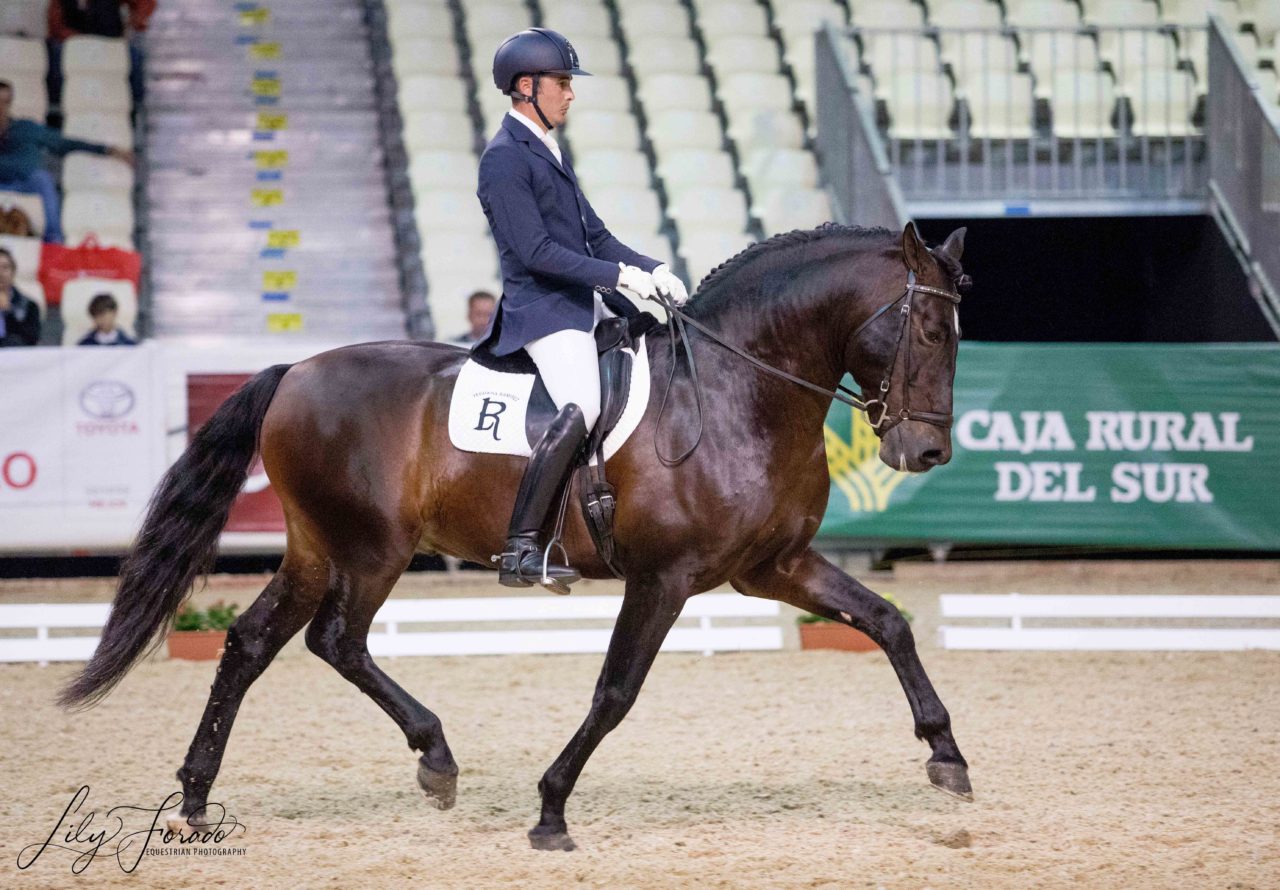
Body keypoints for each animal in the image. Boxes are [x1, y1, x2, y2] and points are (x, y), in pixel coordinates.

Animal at [57, 218, 967, 855]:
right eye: (929, 333)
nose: (925, 455)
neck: (736, 390)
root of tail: (294, 373)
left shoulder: (774, 565)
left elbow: (887, 622)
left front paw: (947, 756)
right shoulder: (665, 577)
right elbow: (615, 691)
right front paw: (552, 809)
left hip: (318, 547)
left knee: (250, 644)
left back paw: (196, 798)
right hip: (373, 549)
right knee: (336, 640)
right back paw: (435, 760)